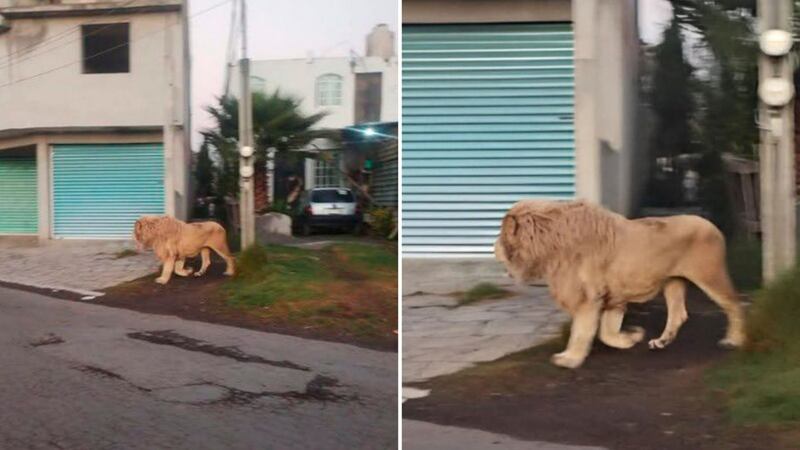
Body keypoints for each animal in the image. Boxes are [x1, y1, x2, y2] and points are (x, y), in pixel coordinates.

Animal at [494, 199, 745, 369]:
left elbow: (581, 331)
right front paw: (631, 338)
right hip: (673, 282)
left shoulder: (588, 298)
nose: (492, 248)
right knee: (678, 314)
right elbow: (607, 333)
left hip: (710, 276)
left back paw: (734, 340)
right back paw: (661, 341)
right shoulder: (612, 297)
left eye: (500, 234)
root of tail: (713, 226)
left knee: (734, 305)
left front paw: (570, 359)